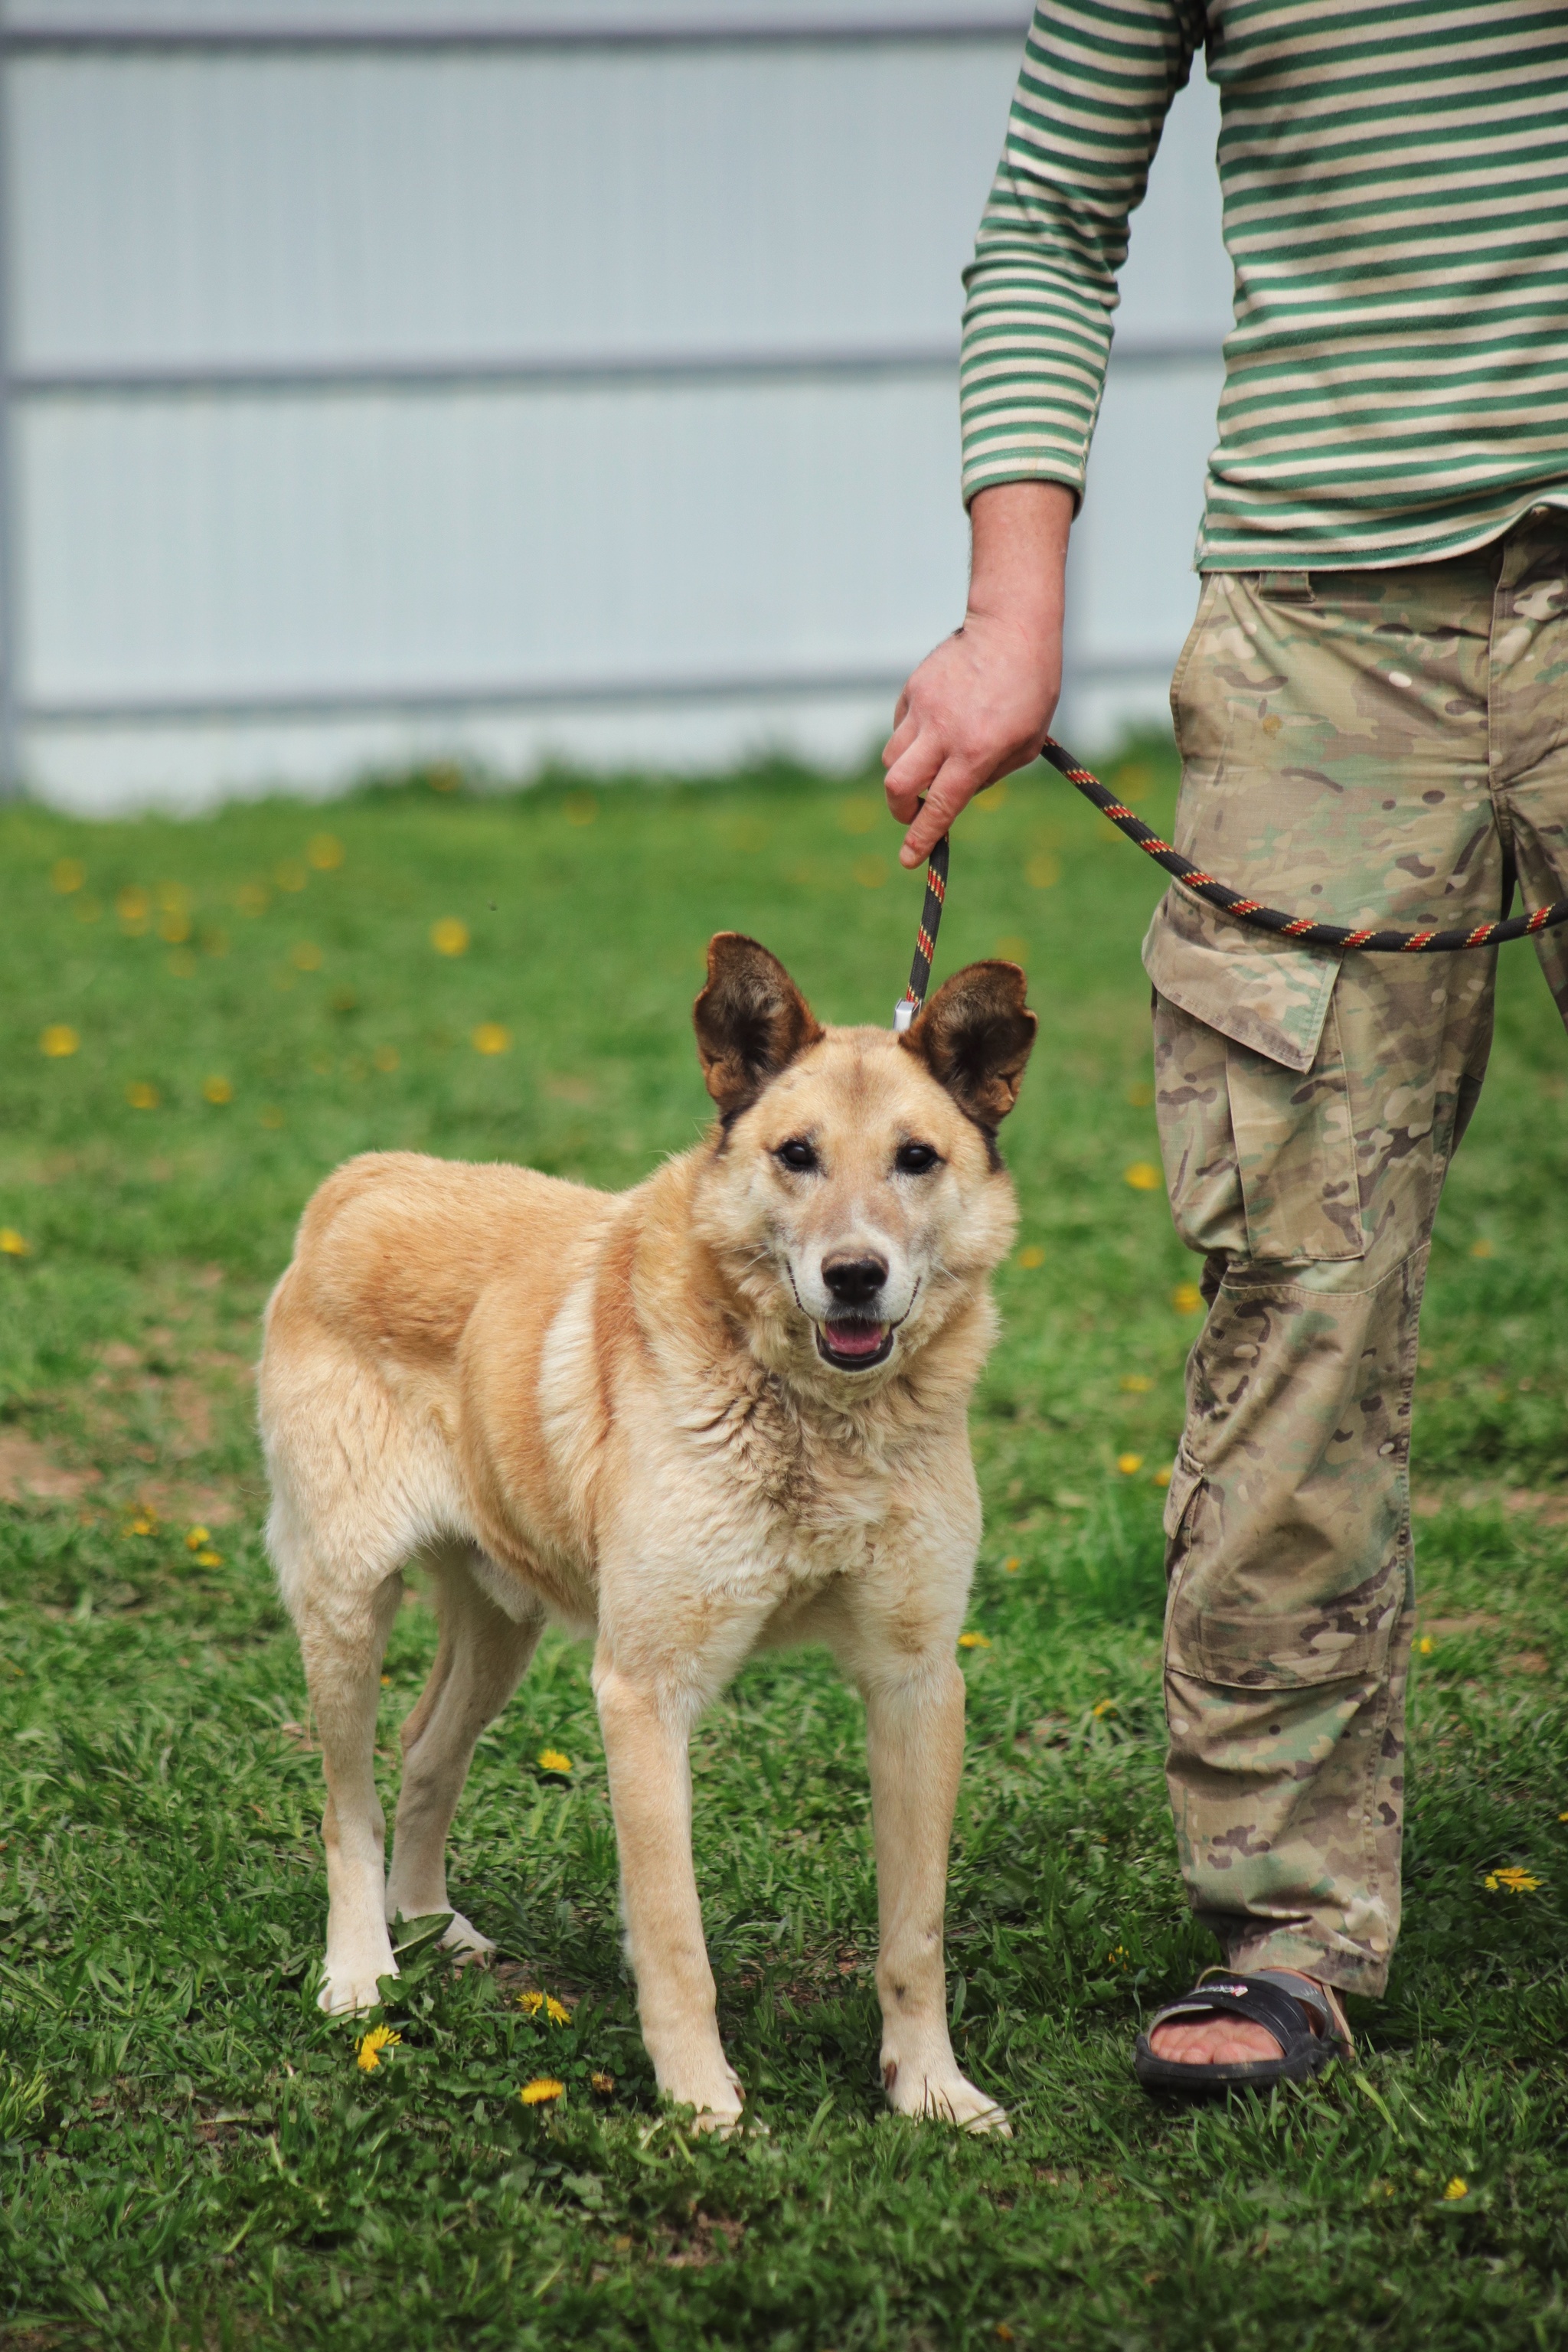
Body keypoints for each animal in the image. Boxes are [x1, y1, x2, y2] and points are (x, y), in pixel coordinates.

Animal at [262, 931, 1034, 2135]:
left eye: (917, 1158)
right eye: (796, 1155)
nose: (853, 1276)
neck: (814, 1417)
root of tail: (363, 1180)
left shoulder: (917, 1682)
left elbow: (915, 1935)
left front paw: (930, 2089)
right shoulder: (644, 1688)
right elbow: (676, 1941)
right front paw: (702, 2109)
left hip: (501, 1619)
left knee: (426, 1750)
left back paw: (432, 1928)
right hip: (345, 1609)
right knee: (349, 1803)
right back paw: (361, 1971)